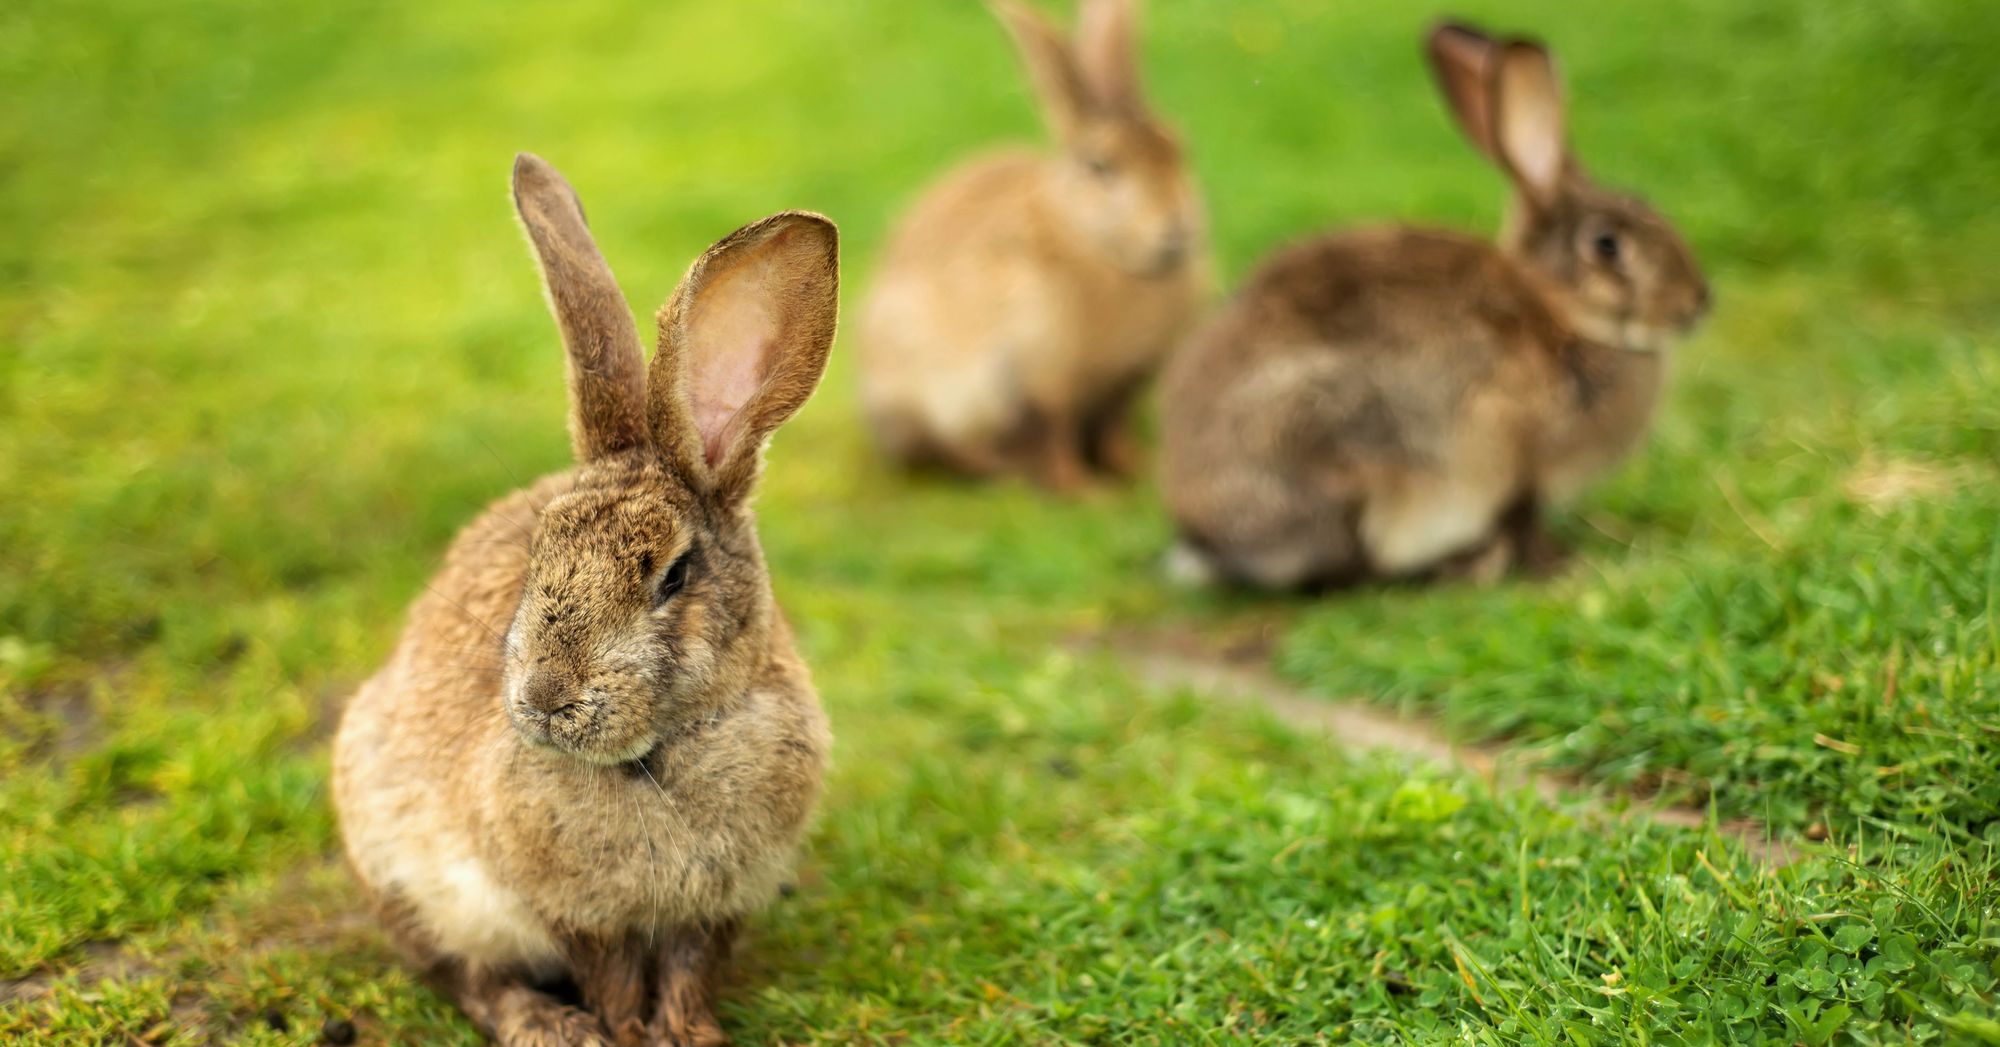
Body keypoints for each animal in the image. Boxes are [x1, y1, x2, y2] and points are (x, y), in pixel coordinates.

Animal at [332, 153, 837, 1047]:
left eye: (672, 574)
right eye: (539, 554)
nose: (543, 698)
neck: (662, 752)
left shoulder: (716, 908)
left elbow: (687, 974)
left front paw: (691, 1036)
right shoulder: (575, 915)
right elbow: (612, 979)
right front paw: (625, 1035)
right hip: (398, 869)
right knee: (467, 976)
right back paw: (547, 1024)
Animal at [858, 0, 1207, 493]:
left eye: (1178, 150)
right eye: (1101, 167)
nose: (1178, 227)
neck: (1096, 246)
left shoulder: (1122, 388)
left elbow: (1114, 432)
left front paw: (1141, 470)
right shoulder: (1040, 379)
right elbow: (1054, 436)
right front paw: (1086, 493)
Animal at [1158, 21, 1711, 590]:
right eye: (1607, 245)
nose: (1697, 303)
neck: (1561, 313)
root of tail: (1206, 538)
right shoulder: (1511, 451)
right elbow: (1523, 515)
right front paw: (1557, 564)